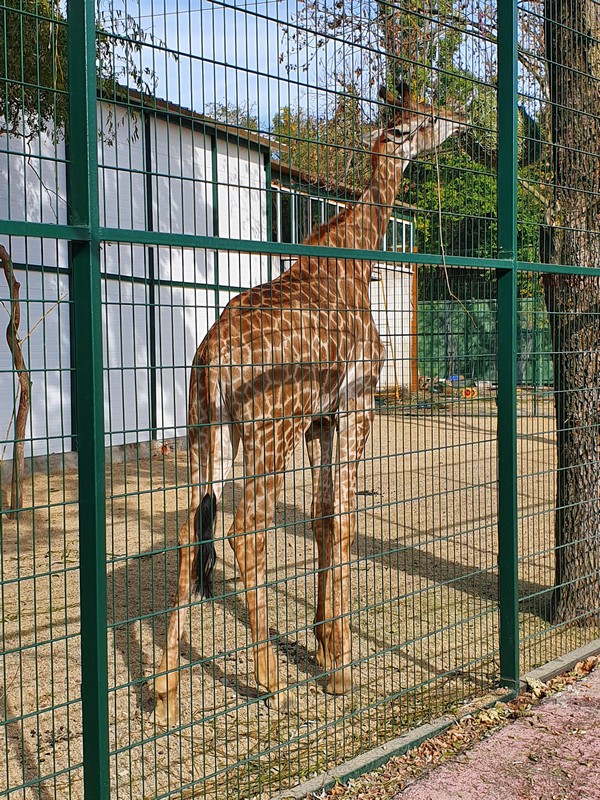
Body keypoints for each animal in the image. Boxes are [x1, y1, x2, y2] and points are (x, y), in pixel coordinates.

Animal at [154, 81, 464, 724]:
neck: (356, 262)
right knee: (246, 531)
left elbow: (323, 521)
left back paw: (166, 695)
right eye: (425, 117)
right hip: (269, 433)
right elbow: (343, 522)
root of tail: (211, 358)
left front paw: (324, 644)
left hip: (204, 432)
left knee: (188, 532)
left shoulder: (321, 421)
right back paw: (268, 678)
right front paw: (340, 666)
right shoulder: (357, 406)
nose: (463, 118)